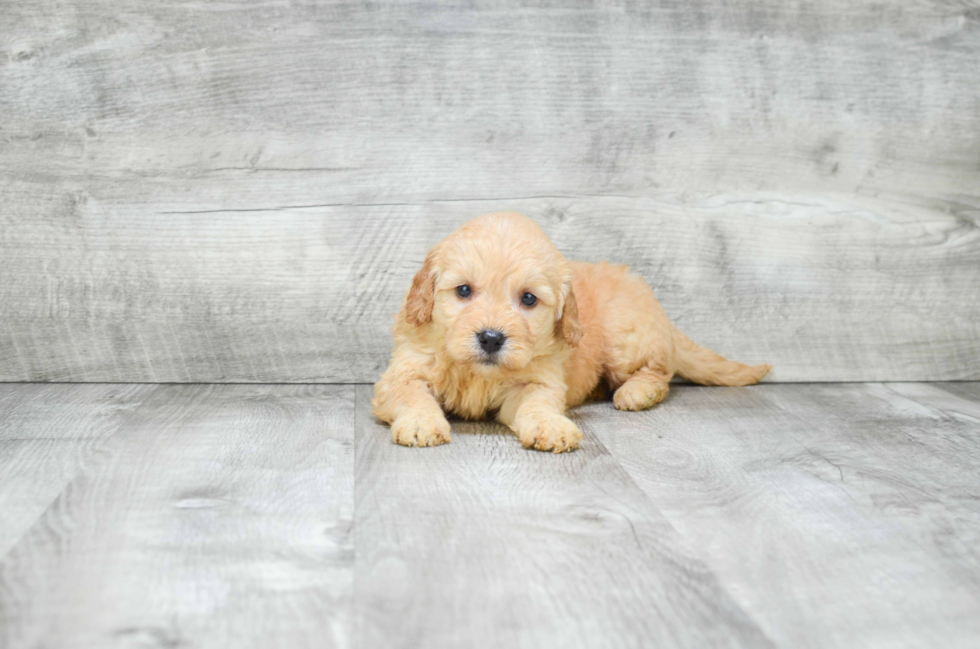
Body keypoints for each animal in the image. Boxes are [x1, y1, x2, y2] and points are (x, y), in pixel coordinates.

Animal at [372, 211, 768, 450]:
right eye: (464, 291)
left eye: (528, 299)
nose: (491, 338)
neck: (477, 373)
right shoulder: (404, 372)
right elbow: (412, 393)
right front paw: (422, 421)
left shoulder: (539, 380)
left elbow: (537, 402)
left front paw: (549, 425)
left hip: (625, 340)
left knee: (658, 371)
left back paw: (636, 392)